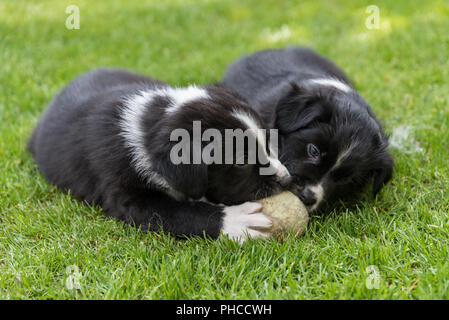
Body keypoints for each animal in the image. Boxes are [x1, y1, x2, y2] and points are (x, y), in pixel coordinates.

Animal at [30, 68, 290, 242]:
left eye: (268, 139)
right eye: (241, 162)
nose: (287, 179)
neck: (149, 124)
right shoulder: (127, 196)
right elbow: (179, 212)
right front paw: (238, 221)